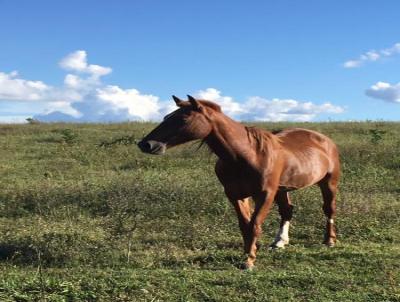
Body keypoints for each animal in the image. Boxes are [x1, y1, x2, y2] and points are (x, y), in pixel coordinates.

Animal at [138, 95, 340, 268]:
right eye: (166, 117)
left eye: (184, 118)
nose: (145, 144)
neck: (246, 154)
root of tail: (325, 140)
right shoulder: (235, 194)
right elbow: (245, 225)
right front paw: (248, 253)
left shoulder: (265, 194)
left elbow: (255, 224)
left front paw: (249, 260)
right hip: (283, 189)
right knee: (287, 211)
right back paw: (279, 242)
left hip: (328, 182)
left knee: (328, 209)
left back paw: (329, 240)